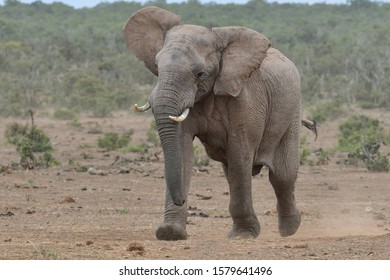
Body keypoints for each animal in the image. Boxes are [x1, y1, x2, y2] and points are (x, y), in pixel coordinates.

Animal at [123, 6, 316, 241]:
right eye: (157, 68)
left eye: (200, 74)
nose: (181, 199)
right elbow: (183, 151)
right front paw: (170, 233)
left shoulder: (245, 98)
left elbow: (240, 154)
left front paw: (243, 235)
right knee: (232, 173)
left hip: (292, 111)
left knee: (281, 175)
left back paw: (289, 230)